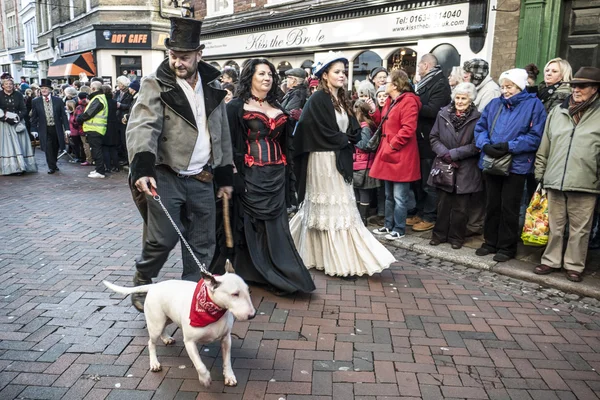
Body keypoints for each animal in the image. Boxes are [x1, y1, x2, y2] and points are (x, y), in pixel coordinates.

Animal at [103, 262, 253, 388]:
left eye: (248, 290)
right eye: (235, 294)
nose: (252, 315)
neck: (213, 309)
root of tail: (154, 286)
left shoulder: (226, 339)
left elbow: (227, 361)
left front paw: (229, 377)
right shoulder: (190, 342)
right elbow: (199, 364)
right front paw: (205, 379)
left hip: (168, 317)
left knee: (163, 328)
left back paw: (166, 338)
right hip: (155, 324)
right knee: (151, 342)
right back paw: (154, 363)